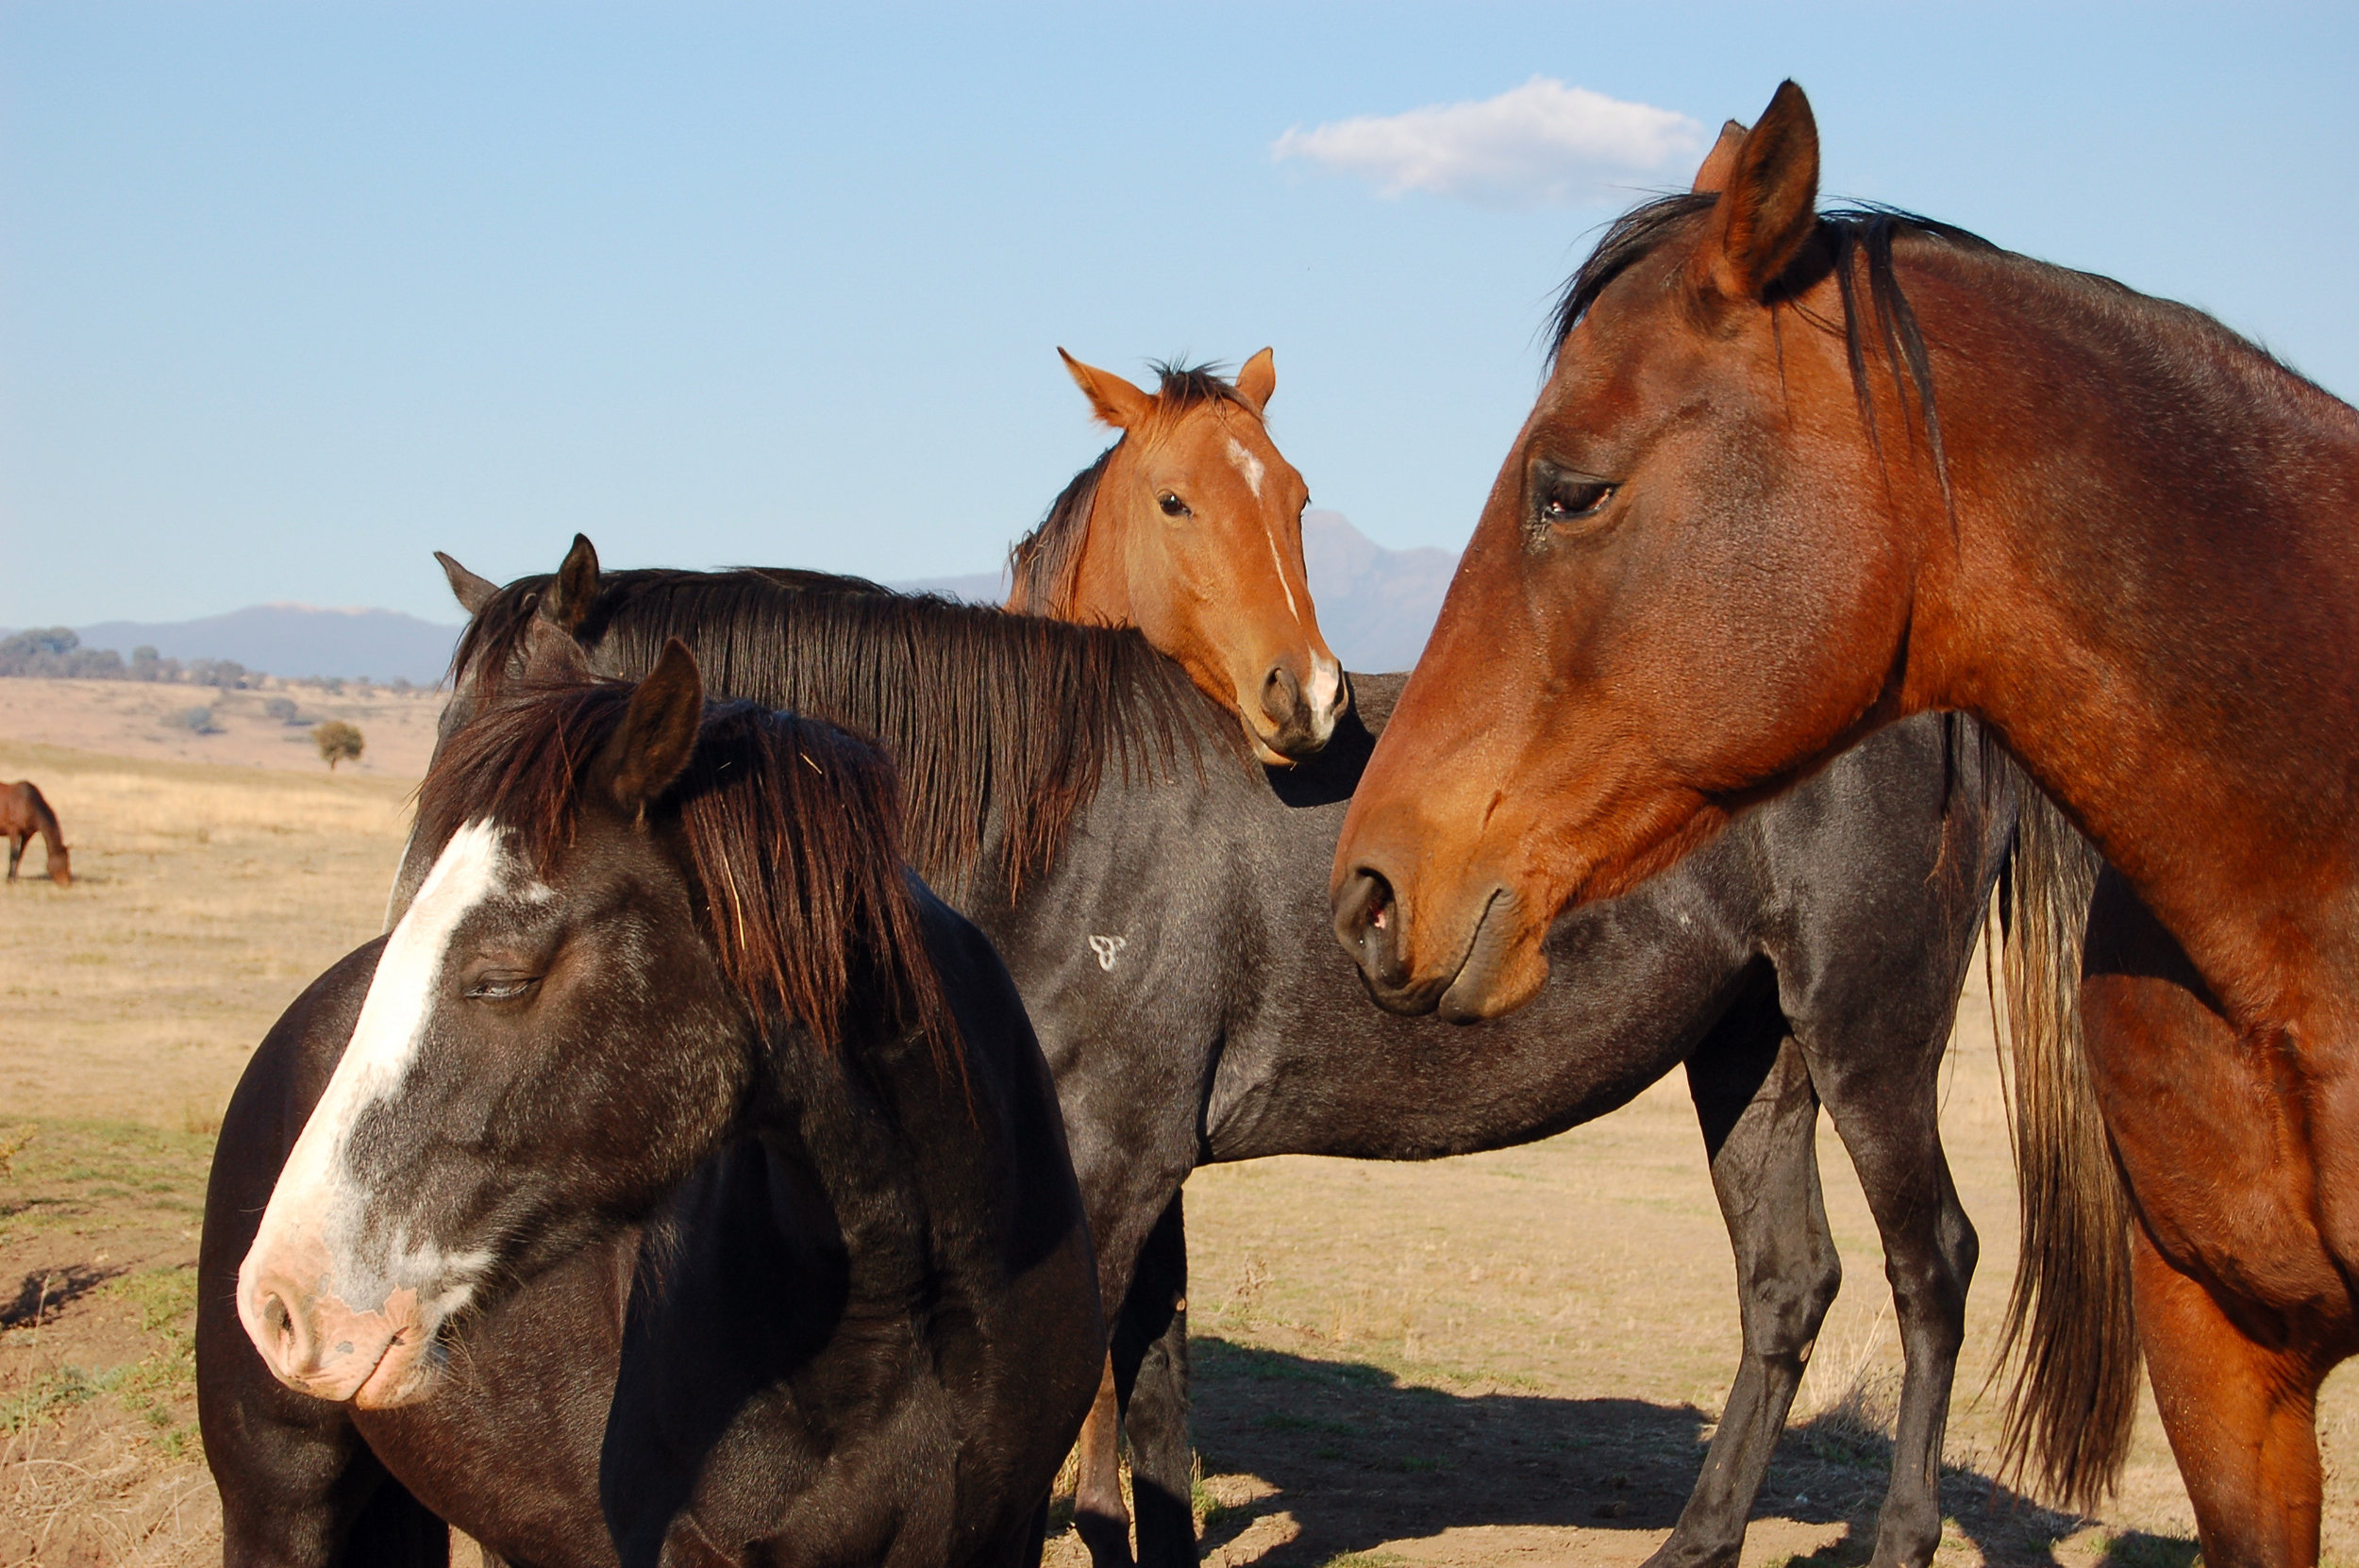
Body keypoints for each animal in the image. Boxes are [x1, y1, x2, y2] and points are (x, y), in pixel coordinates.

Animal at [414, 541, 2021, 1568]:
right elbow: (1156, 1400)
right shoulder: (1126, 1174)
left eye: (536, 770)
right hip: (1754, 1050)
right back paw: (1694, 1541)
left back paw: (1898, 1541)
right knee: (1788, 1281)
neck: (1049, 821)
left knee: (1932, 1262)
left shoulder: (1115, 1168)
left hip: (1870, 1035)